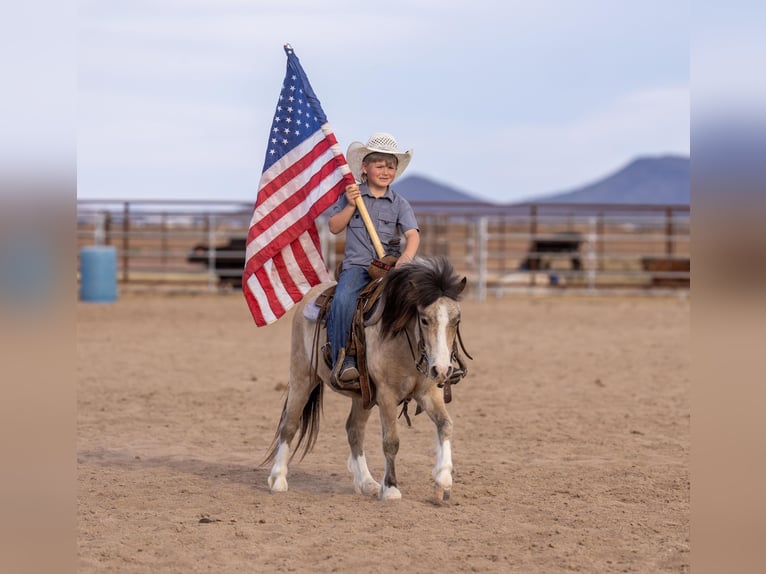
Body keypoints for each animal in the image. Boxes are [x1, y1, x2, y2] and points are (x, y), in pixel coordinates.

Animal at [263, 256, 469, 501]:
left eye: (457, 320)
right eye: (425, 320)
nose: (442, 369)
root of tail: (310, 296)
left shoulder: (429, 393)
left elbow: (445, 425)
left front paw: (443, 480)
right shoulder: (387, 395)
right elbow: (391, 441)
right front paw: (390, 488)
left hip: (363, 396)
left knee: (354, 430)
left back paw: (367, 482)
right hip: (302, 377)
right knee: (290, 425)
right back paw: (278, 479)